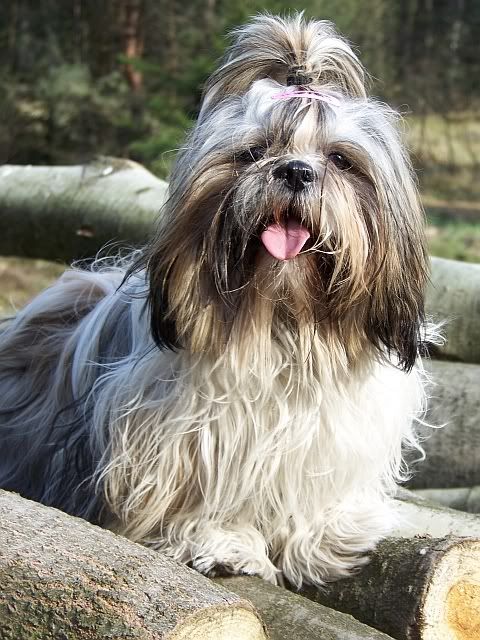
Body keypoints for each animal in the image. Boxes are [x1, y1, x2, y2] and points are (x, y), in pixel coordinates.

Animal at [0, 14, 433, 587]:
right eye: (253, 153)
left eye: (340, 159)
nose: (295, 170)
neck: (280, 326)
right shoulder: (183, 441)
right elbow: (207, 498)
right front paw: (225, 543)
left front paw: (324, 537)